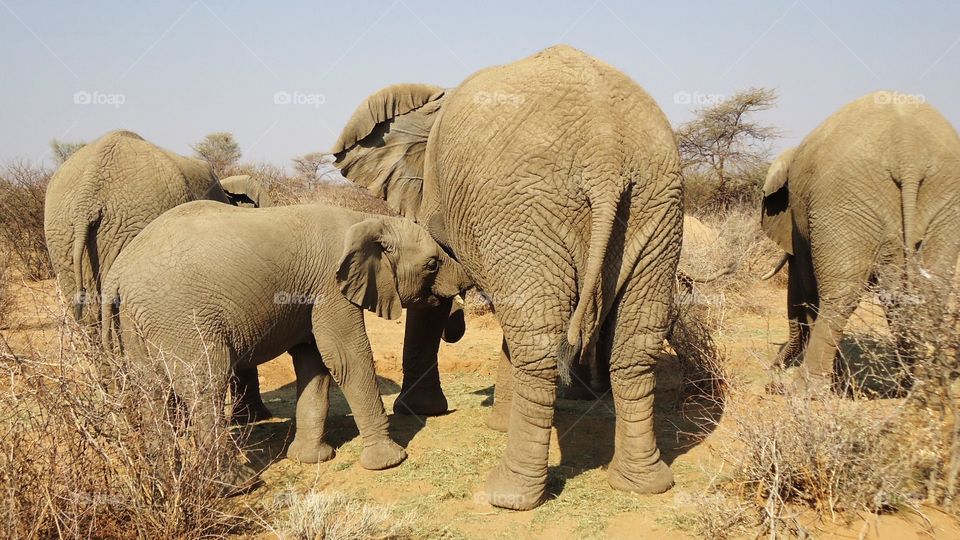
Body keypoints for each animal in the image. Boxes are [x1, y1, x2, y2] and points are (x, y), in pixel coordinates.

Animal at [101, 201, 473, 493]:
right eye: (432, 264)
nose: (464, 287)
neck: (366, 219)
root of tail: (117, 274)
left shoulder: (310, 294)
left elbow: (315, 363)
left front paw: (311, 459)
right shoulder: (330, 287)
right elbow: (345, 356)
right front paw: (389, 461)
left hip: (138, 323)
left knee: (151, 391)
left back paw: (164, 480)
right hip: (182, 318)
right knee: (204, 386)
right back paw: (238, 485)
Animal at [333, 45, 683, 509]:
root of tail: (605, 156)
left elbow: (437, 296)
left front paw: (423, 411)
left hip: (525, 208)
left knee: (539, 344)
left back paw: (508, 494)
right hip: (655, 203)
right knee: (635, 345)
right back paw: (642, 483)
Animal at [760, 91, 960, 391]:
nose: (771, 377)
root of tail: (907, 150)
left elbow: (808, 285)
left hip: (844, 198)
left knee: (840, 295)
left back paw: (806, 389)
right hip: (939, 196)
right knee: (925, 291)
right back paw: (917, 385)